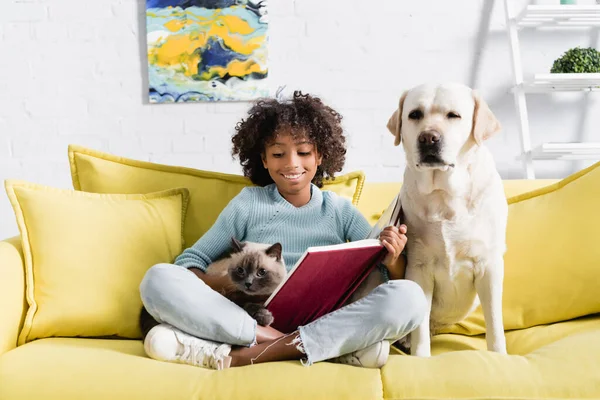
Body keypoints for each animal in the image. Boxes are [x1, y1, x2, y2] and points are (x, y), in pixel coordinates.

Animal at [386, 83, 508, 358]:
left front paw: (499, 355)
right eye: (415, 114)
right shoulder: (419, 267)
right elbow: (420, 329)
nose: (428, 138)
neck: (443, 195)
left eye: (453, 115)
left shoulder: (489, 265)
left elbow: (495, 323)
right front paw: (420, 357)